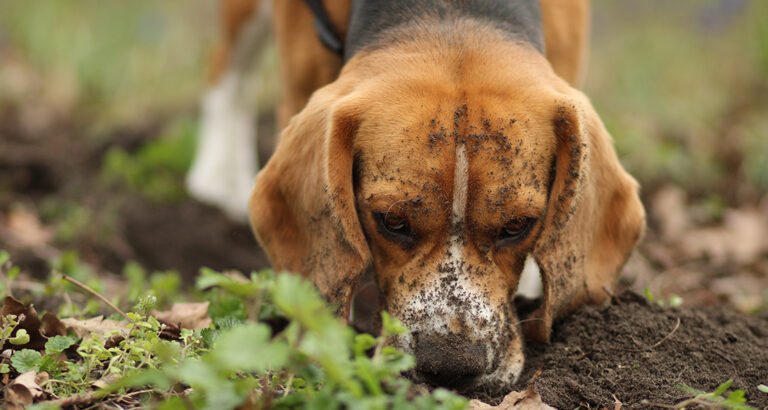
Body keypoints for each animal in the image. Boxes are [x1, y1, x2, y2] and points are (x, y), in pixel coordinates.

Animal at [196, 0, 640, 394]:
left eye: (517, 225)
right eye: (392, 221)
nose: (451, 365)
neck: (452, 13)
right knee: (226, 68)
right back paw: (216, 178)